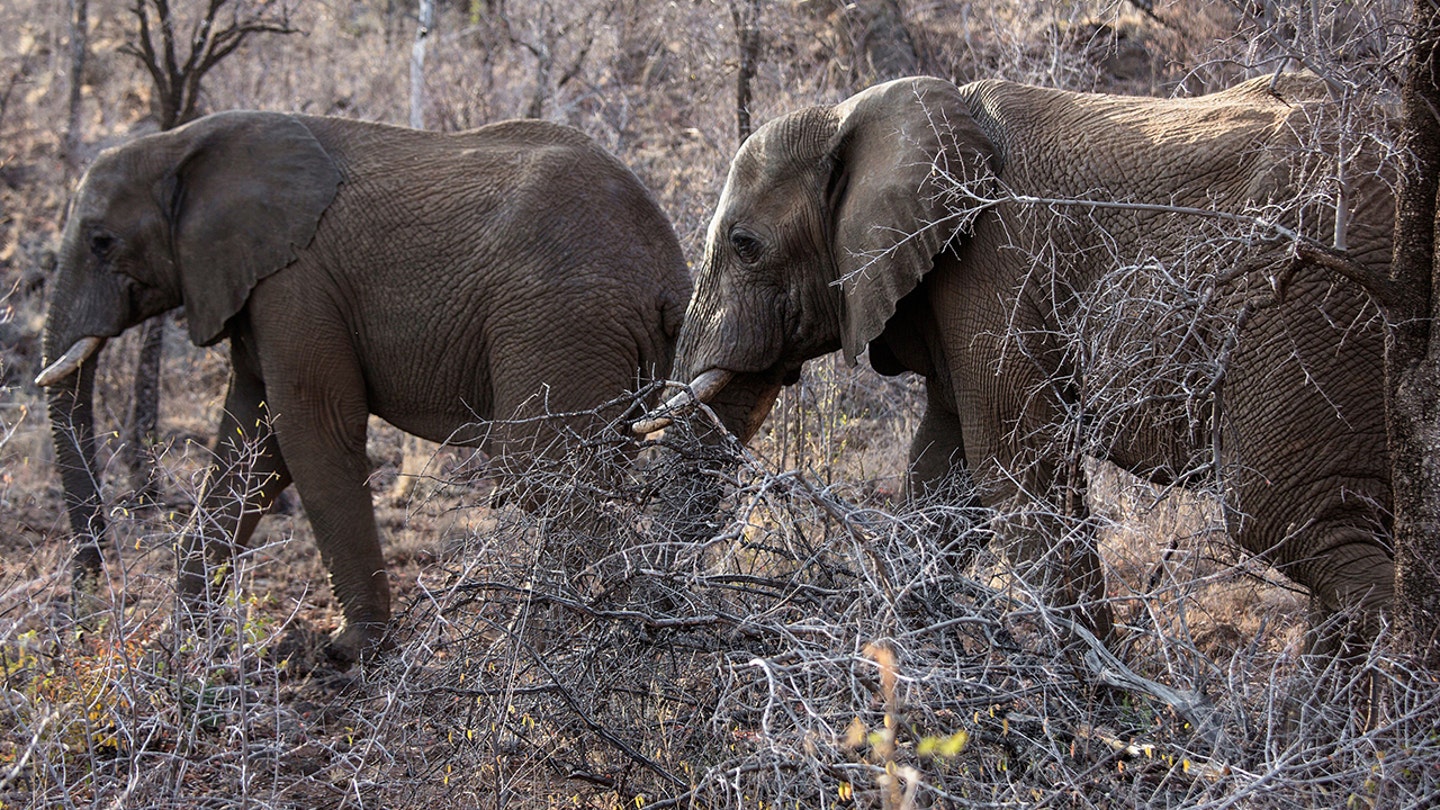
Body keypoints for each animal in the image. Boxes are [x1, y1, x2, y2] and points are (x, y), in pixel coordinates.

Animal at [32, 108, 685, 662]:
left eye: (102, 242)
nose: (84, 615)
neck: (183, 143)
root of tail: (669, 267)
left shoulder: (296, 283)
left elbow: (310, 434)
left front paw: (350, 653)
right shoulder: (257, 289)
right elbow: (251, 446)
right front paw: (190, 646)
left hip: (561, 320)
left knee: (540, 476)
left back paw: (566, 642)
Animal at [653, 74, 1393, 648]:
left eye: (745, 245)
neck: (856, 113)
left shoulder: (993, 267)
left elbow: (1016, 467)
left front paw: (1099, 720)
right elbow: (943, 481)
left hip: (1303, 299)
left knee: (1291, 519)